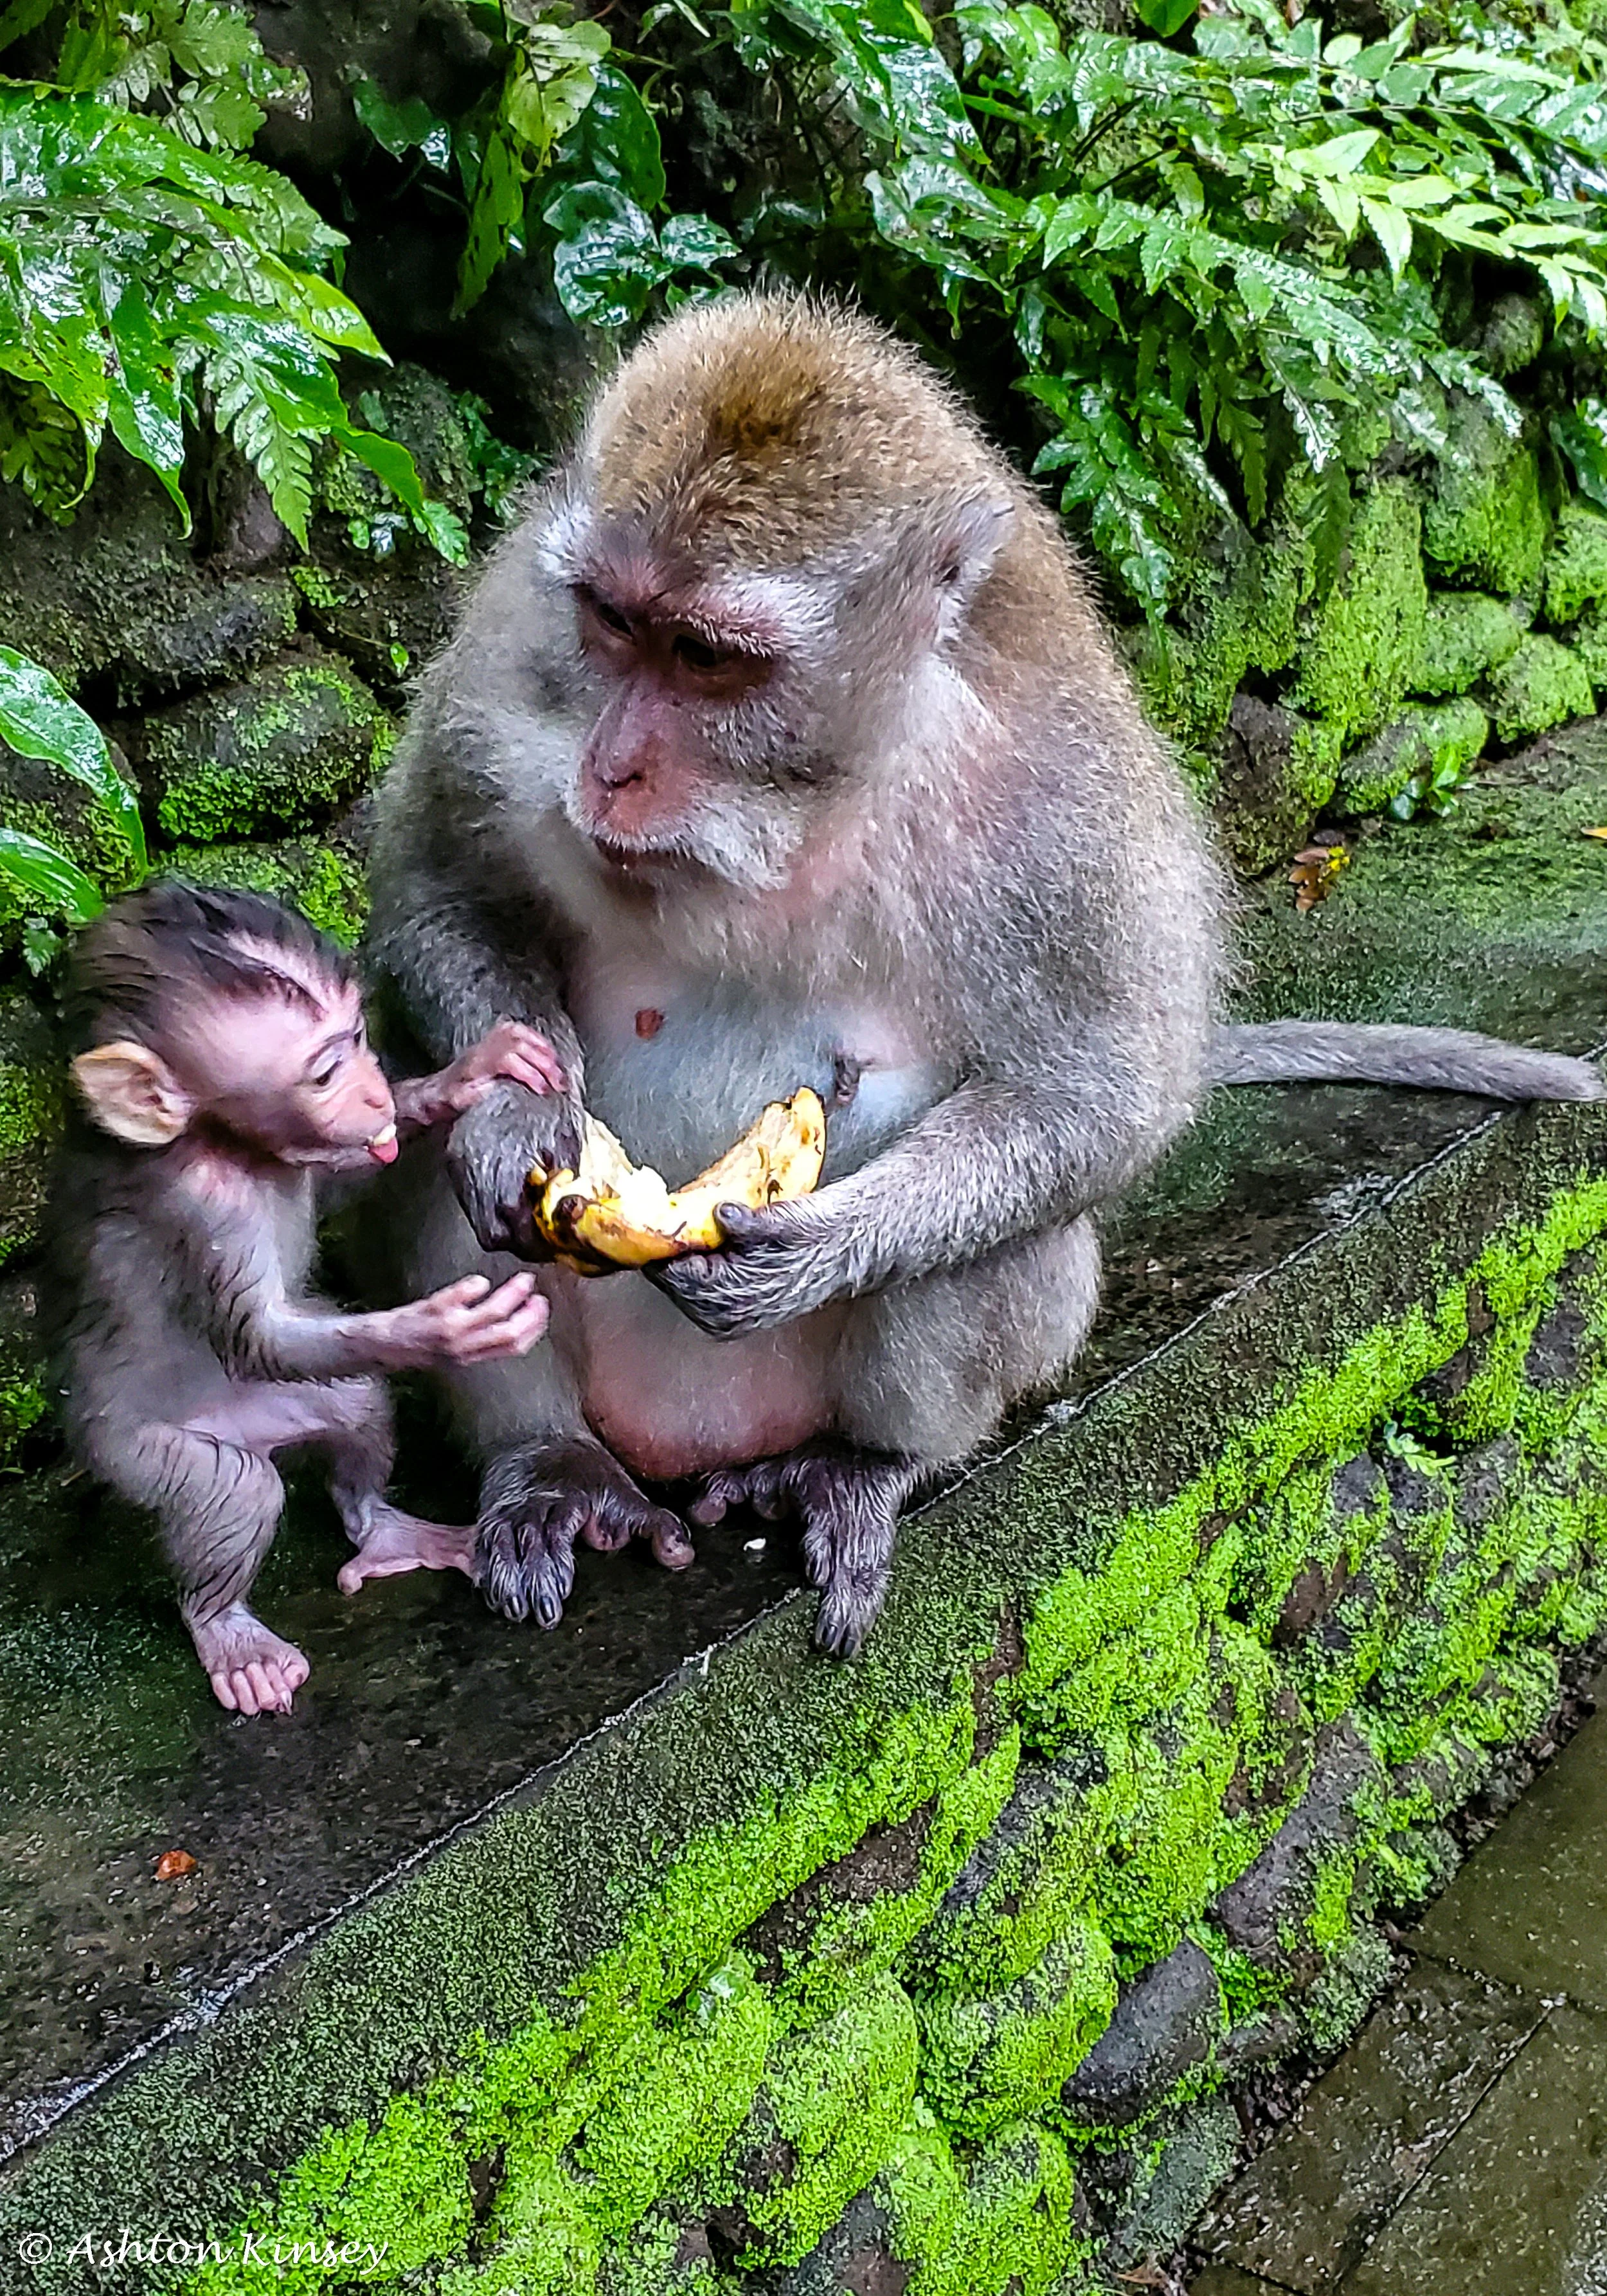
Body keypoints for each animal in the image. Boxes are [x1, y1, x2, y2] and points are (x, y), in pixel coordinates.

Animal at [47, 880, 558, 1715]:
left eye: (358, 1037)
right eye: (323, 1073)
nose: (376, 1090)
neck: (228, 1144)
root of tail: (245, 1430)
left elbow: (344, 1180)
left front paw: (463, 1076)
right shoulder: (205, 1208)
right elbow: (258, 1335)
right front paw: (448, 1329)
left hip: (286, 1406)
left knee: (356, 1404)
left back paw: (379, 1526)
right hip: (135, 1451)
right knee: (236, 1490)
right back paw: (226, 1629)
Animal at [366, 292, 1603, 1662]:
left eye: (707, 657)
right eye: (615, 624)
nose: (612, 766)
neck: (811, 801)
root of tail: (685, 1448)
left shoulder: (1062, 797)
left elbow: (1102, 1093)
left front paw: (810, 1250)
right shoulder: (514, 649)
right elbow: (435, 886)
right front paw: (520, 1112)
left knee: (994, 1243)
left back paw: (867, 1463)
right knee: (431, 1136)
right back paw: (548, 1463)